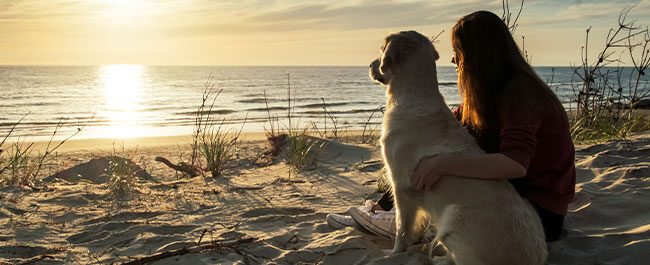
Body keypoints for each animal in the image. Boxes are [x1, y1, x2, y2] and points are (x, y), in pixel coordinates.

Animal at [368, 31, 544, 264]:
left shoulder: (402, 185)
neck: (414, 93)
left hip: (453, 215)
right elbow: (417, 223)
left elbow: (402, 227)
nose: (370, 64)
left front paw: (394, 253)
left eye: (381, 50)